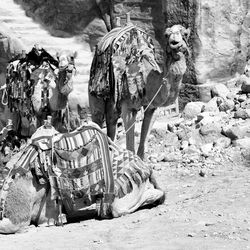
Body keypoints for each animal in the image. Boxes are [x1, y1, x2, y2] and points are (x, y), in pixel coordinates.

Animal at [89, 23, 190, 160]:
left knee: (111, 119)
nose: (175, 43)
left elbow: (144, 138)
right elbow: (130, 143)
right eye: (166, 34)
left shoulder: (152, 107)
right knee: (98, 116)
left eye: (185, 33)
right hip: (95, 87)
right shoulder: (128, 106)